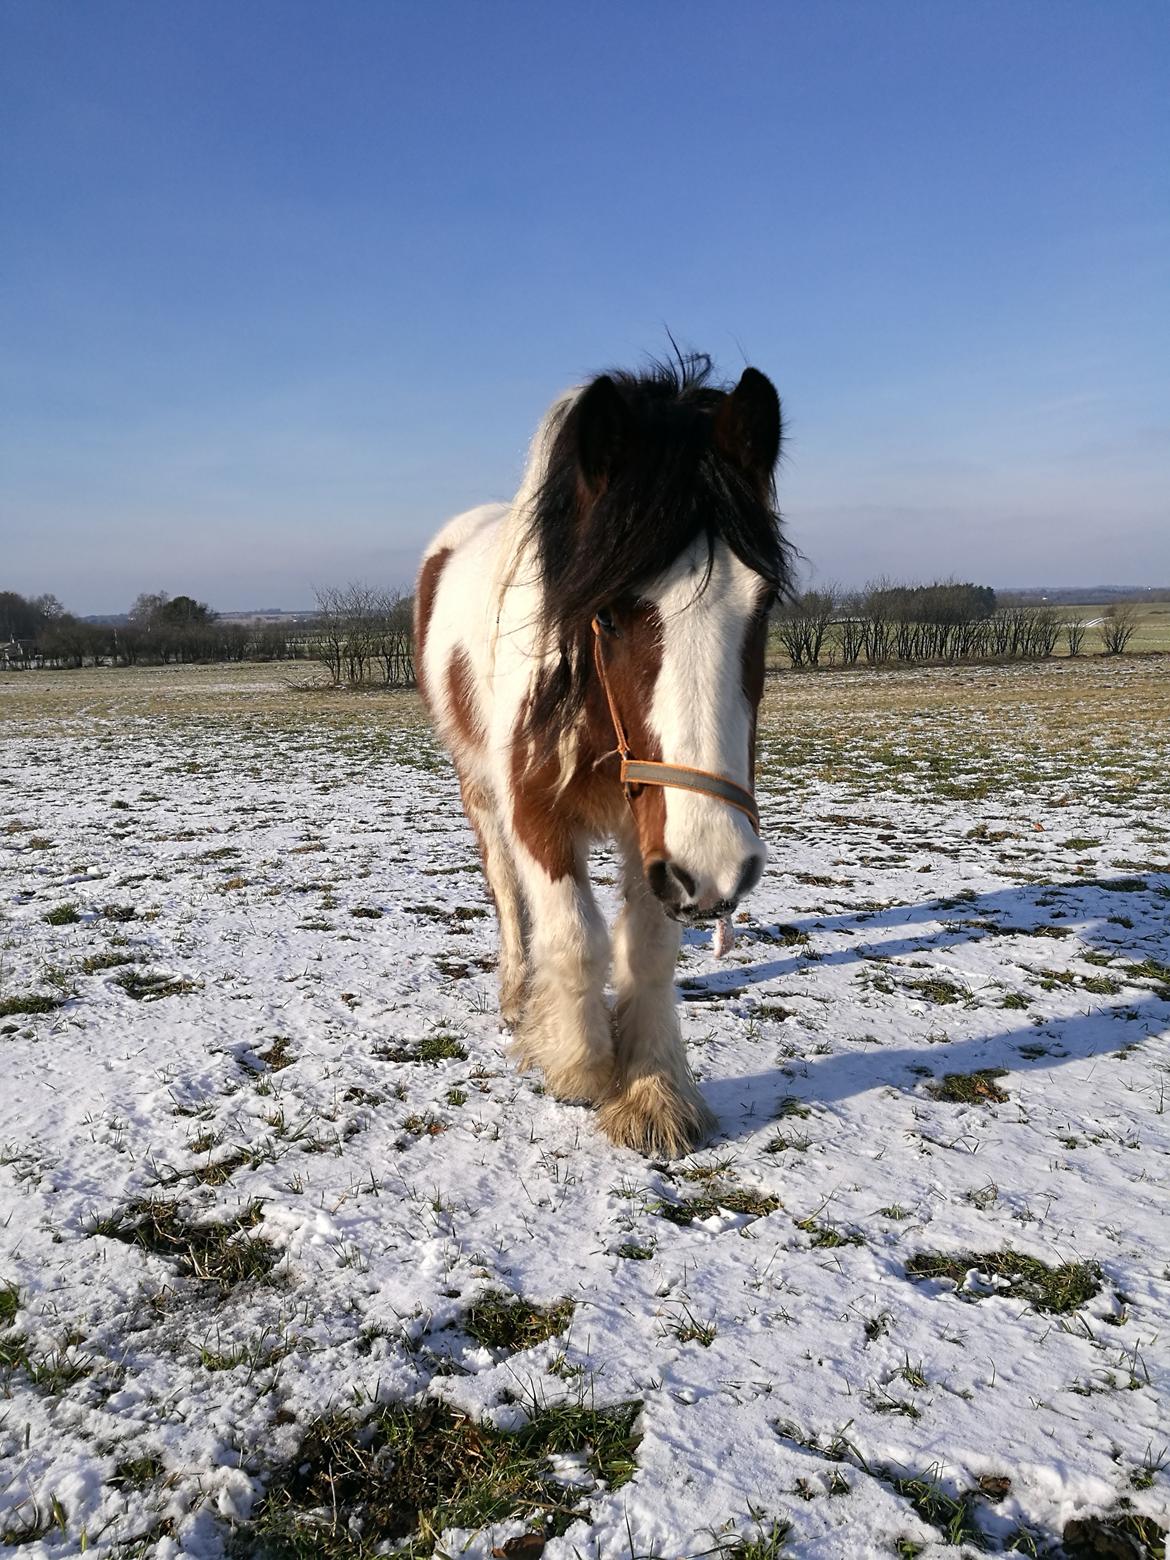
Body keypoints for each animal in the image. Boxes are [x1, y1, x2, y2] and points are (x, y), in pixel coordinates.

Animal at [418, 354, 792, 1160]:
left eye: (765, 602)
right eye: (609, 614)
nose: (721, 868)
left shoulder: (656, 836)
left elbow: (646, 948)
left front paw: (652, 1090)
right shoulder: (536, 813)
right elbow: (575, 932)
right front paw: (579, 1061)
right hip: (476, 786)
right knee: (506, 891)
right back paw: (516, 996)